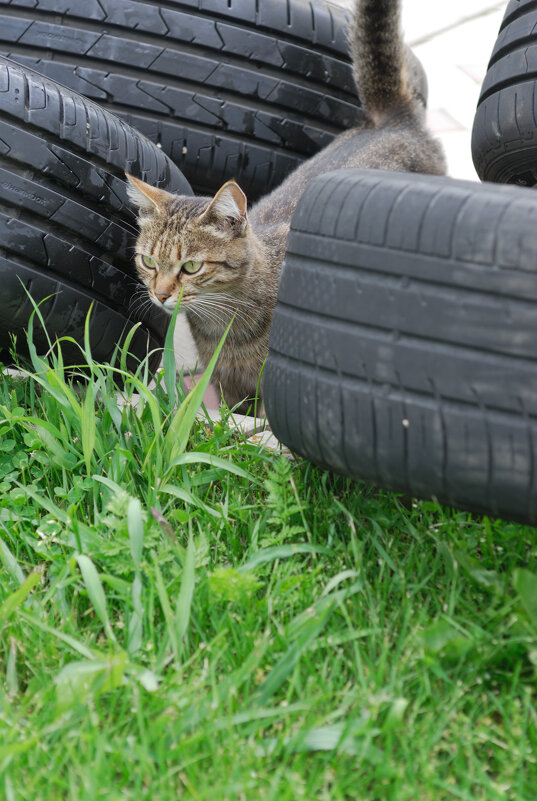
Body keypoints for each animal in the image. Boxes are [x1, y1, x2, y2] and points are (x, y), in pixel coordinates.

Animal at [125, 0, 444, 410]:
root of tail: (389, 119)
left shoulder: (271, 381)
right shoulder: (227, 383)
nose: (161, 294)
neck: (225, 325)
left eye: (191, 267)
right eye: (148, 262)